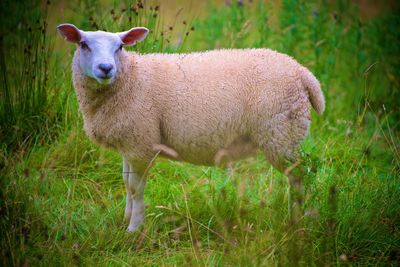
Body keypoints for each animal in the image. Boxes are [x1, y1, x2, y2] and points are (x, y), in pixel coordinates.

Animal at [57, 23, 324, 232]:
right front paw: (125, 219)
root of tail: (303, 73)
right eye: (83, 45)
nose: (106, 68)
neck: (130, 77)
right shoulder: (129, 142)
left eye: (120, 47)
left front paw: (134, 229)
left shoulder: (142, 142)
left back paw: (296, 221)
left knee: (299, 178)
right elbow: (126, 183)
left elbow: (136, 188)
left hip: (282, 132)